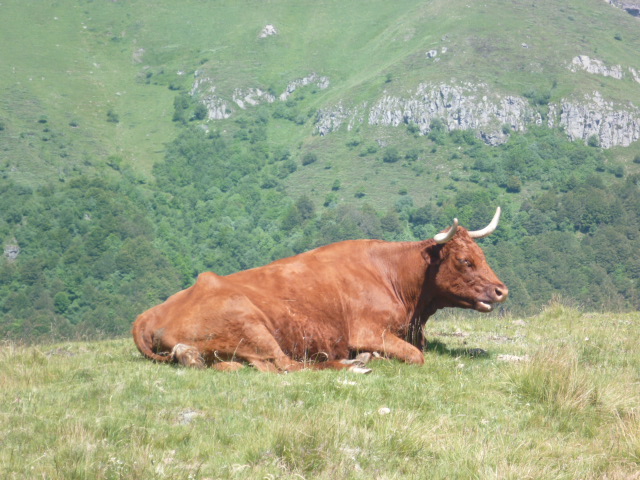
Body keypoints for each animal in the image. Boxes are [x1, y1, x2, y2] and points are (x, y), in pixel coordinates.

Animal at [132, 206, 508, 372]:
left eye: (482, 255)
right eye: (464, 260)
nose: (501, 291)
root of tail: (147, 316)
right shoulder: (367, 330)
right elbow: (417, 355)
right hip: (251, 324)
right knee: (288, 365)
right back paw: (355, 363)